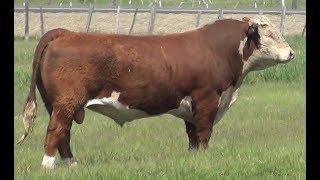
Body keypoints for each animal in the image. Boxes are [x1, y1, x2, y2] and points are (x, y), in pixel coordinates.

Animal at [16, 15, 294, 169]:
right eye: (270, 32)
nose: (292, 52)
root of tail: (65, 33)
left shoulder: (191, 106)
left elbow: (192, 135)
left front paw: (193, 160)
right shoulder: (207, 99)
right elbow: (204, 133)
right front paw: (204, 158)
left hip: (56, 104)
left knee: (64, 135)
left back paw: (72, 165)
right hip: (66, 103)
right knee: (55, 132)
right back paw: (48, 166)